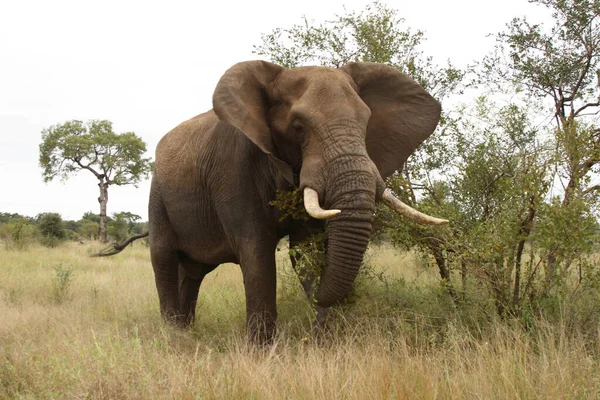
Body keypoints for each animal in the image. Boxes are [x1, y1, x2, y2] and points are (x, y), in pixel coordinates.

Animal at [145, 60, 446, 344]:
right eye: (298, 127)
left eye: (366, 124)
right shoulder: (231, 171)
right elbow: (256, 252)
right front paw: (260, 352)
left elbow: (304, 251)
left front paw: (322, 343)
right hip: (157, 194)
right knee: (163, 259)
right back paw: (174, 337)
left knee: (193, 272)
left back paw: (185, 331)